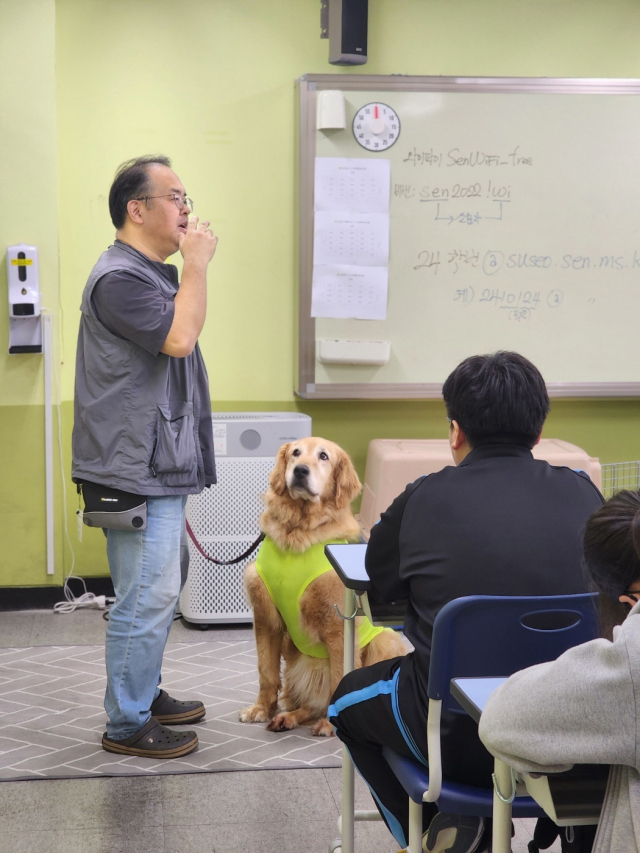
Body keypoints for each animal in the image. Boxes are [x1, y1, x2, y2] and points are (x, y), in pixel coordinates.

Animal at [238, 436, 408, 736]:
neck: (298, 529)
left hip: (385, 640)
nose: (300, 471)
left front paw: (332, 724)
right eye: (295, 453)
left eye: (324, 456)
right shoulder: (266, 618)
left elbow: (340, 678)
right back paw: (287, 717)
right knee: (309, 702)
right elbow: (266, 671)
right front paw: (260, 709)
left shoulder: (337, 624)